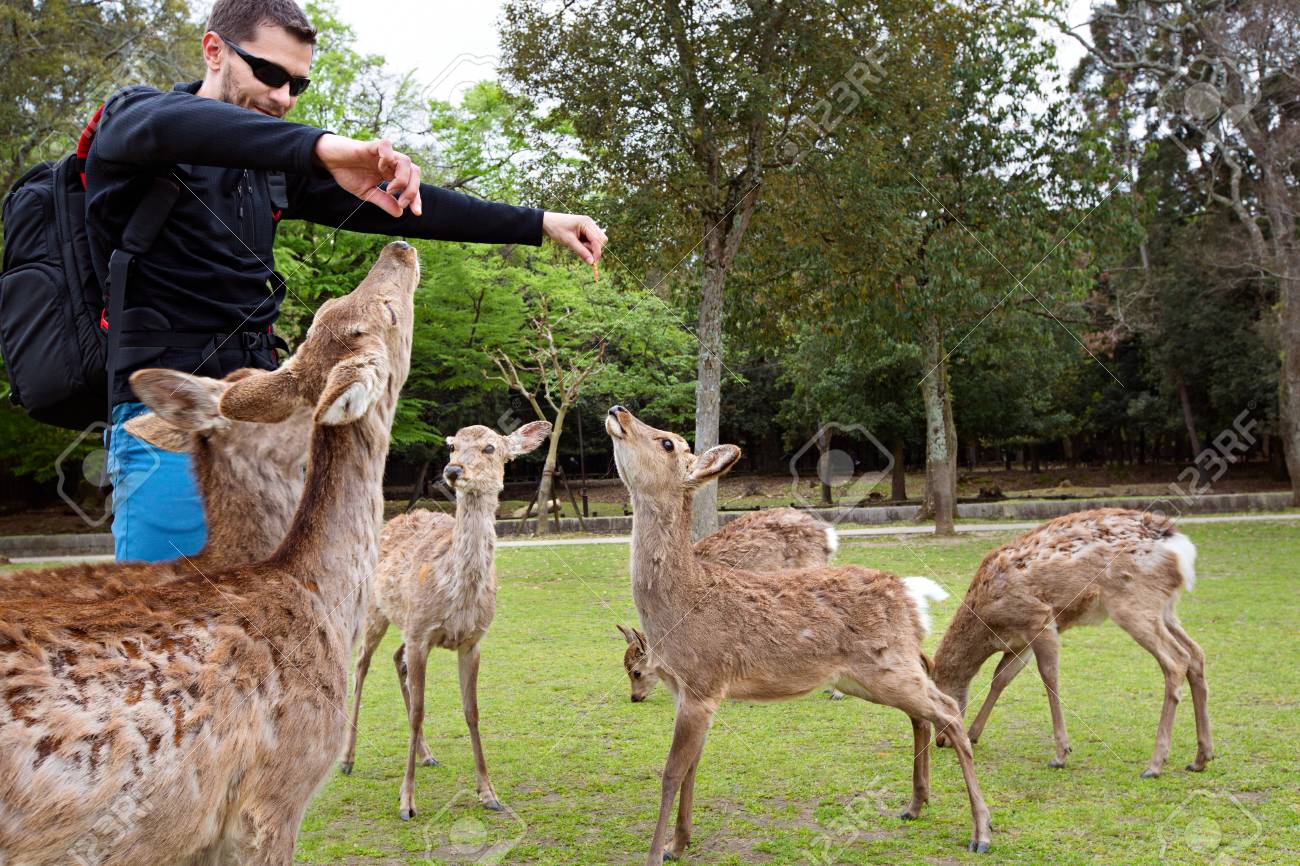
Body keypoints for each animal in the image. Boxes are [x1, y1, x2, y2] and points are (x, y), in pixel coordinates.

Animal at [340, 419, 551, 819]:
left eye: (489, 447)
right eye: (452, 444)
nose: (453, 470)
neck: (456, 593)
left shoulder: (471, 641)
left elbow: (472, 711)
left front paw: (489, 793)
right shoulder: (421, 635)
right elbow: (418, 712)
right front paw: (407, 801)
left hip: (404, 624)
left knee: (396, 659)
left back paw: (427, 755)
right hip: (375, 611)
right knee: (360, 666)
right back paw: (347, 759)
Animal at [930, 508, 1210, 778]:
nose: (940, 741)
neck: (987, 624)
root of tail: (1181, 549)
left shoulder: (1039, 619)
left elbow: (1049, 677)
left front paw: (1061, 754)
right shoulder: (1021, 642)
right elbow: (1001, 678)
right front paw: (974, 734)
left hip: (1134, 604)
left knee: (1177, 660)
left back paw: (1155, 765)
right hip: (1166, 609)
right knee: (1196, 653)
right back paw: (1201, 758)